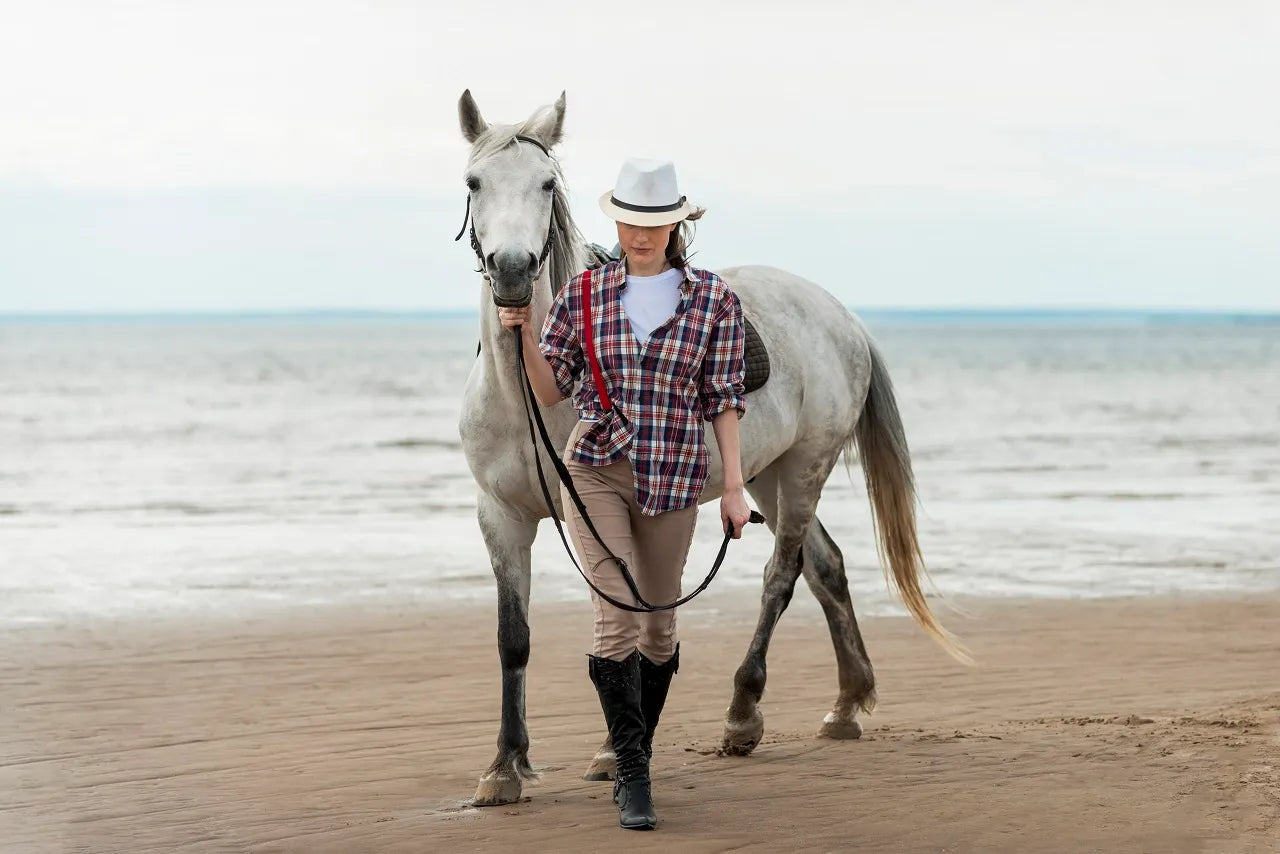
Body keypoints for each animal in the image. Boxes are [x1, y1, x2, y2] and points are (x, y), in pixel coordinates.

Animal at [455, 90, 957, 804]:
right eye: (475, 182)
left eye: (547, 184)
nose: (514, 270)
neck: (529, 393)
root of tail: (841, 316)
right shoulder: (500, 516)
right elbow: (513, 639)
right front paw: (505, 767)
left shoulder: (596, 516)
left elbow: (625, 614)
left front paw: (608, 752)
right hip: (767, 475)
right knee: (826, 566)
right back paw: (845, 706)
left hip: (804, 470)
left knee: (782, 575)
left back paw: (743, 714)